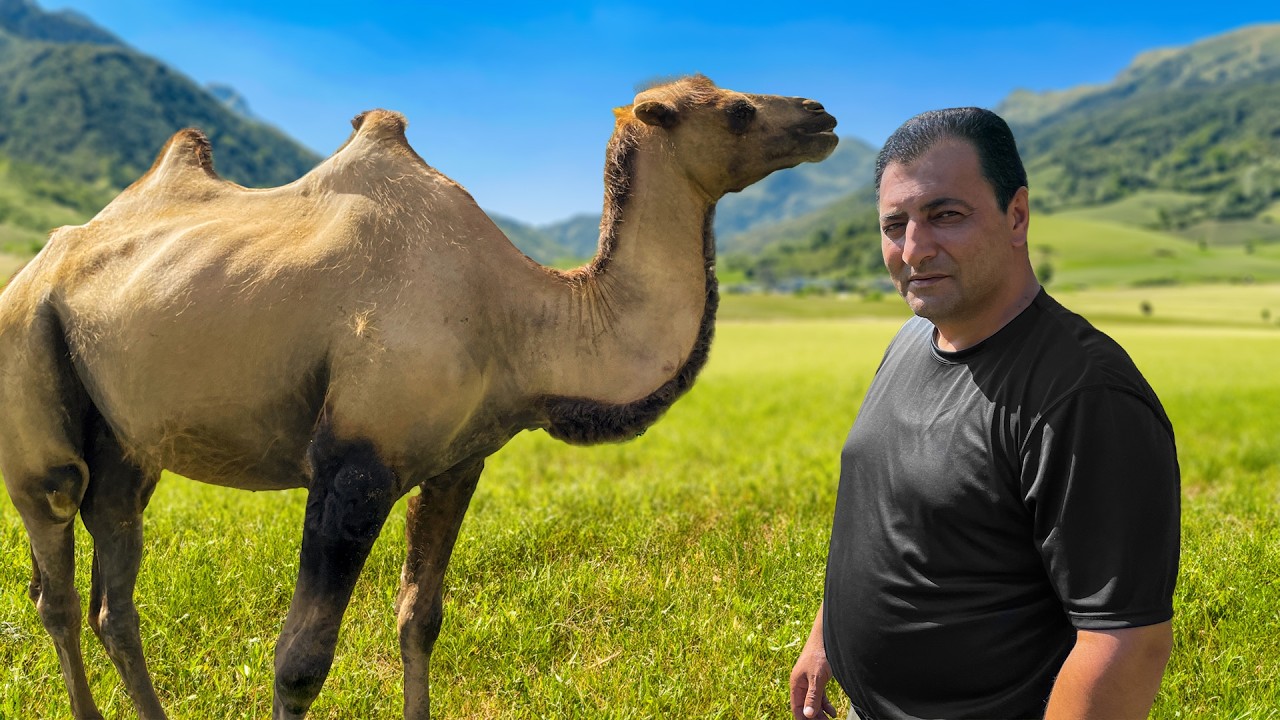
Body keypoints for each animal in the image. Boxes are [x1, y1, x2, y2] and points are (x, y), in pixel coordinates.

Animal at [0, 75, 837, 719]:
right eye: (737, 109)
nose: (821, 114)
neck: (519, 318)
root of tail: (34, 268)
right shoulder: (355, 463)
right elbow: (299, 659)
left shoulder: (459, 460)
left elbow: (419, 618)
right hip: (29, 367)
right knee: (57, 578)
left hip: (127, 440)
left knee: (114, 585)